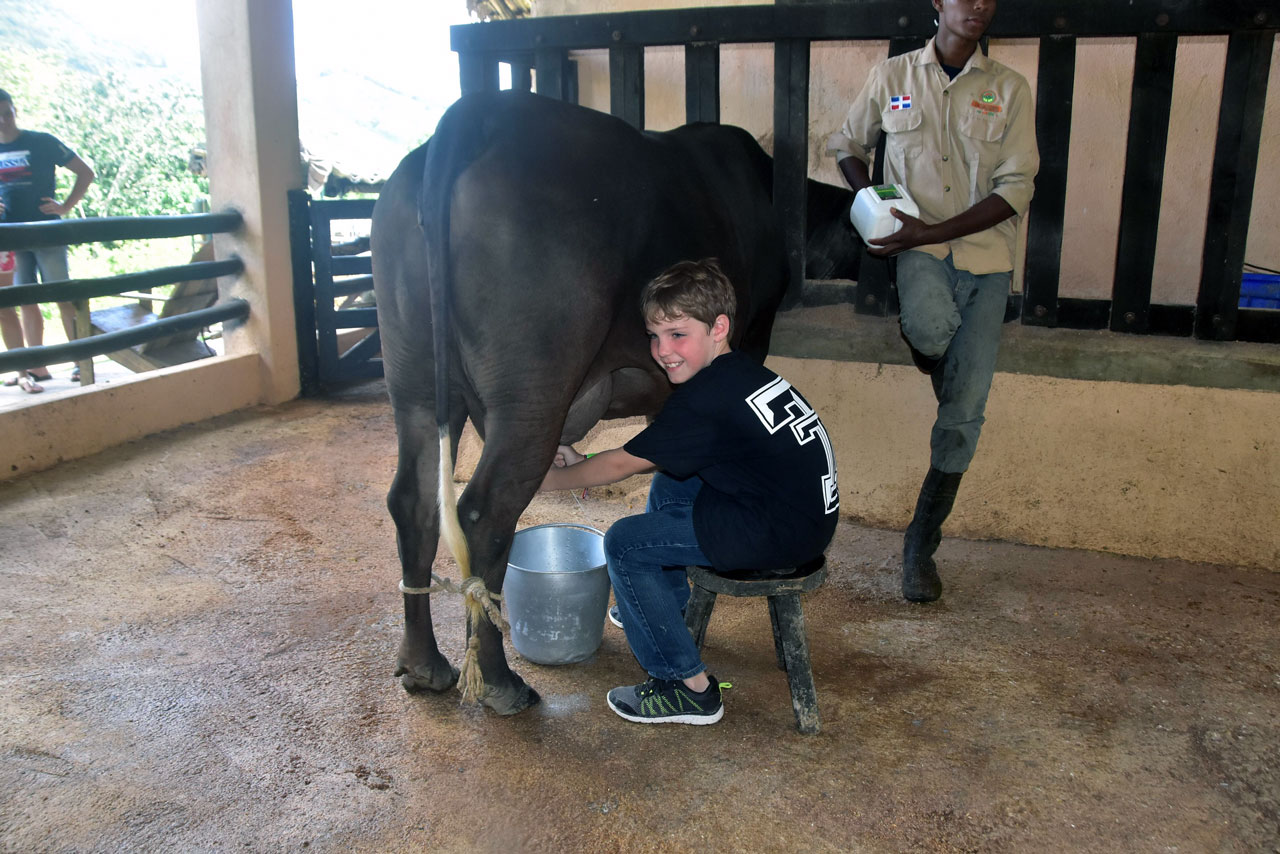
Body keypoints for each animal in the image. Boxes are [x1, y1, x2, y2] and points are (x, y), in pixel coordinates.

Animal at [366, 90, 855, 717]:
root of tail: (478, 114)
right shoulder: (748, 339)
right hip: (533, 392)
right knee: (485, 513)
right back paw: (500, 683)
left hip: (415, 383)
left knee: (413, 502)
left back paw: (424, 666)